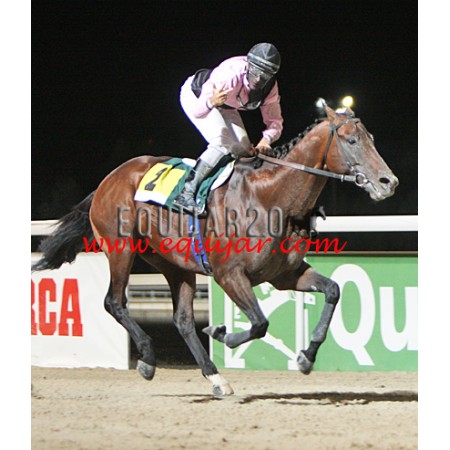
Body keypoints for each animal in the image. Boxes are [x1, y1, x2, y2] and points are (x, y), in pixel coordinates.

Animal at [32, 104, 398, 395]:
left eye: (371, 139)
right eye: (351, 140)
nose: (388, 182)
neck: (271, 197)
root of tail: (108, 180)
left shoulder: (285, 274)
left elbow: (333, 290)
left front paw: (306, 357)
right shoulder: (229, 274)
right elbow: (260, 323)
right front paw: (221, 332)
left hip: (174, 265)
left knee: (181, 319)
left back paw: (216, 378)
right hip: (120, 248)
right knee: (114, 302)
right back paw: (148, 359)